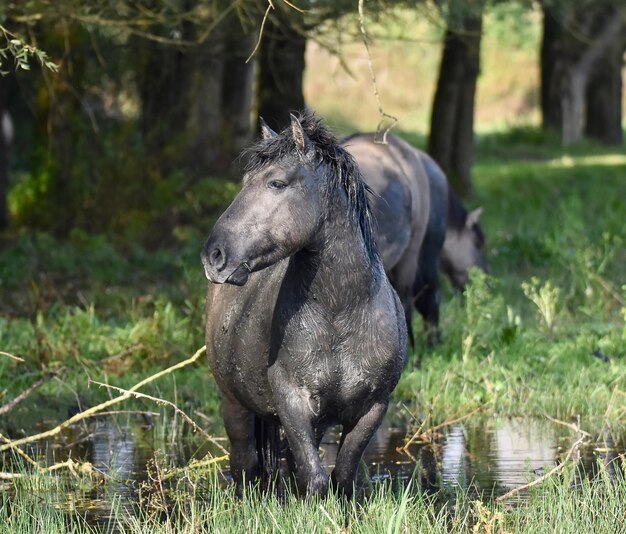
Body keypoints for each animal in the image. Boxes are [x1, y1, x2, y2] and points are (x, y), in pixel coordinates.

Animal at [200, 115, 404, 500]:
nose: (213, 255)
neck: (341, 313)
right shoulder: (292, 403)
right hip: (234, 405)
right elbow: (315, 478)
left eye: (277, 183)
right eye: (245, 182)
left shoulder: (373, 408)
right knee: (245, 465)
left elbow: (342, 475)